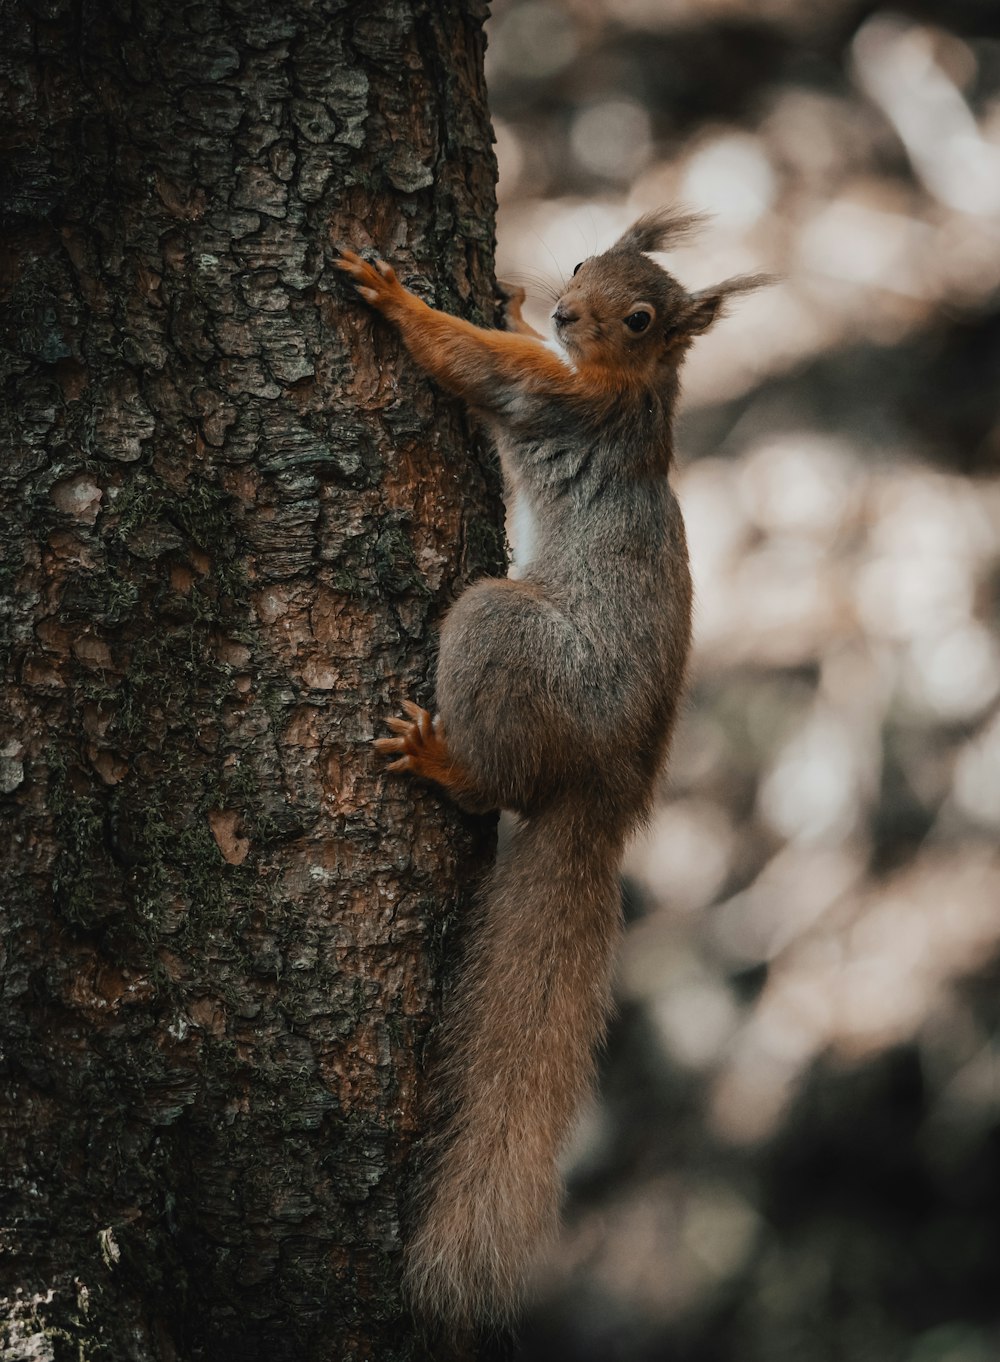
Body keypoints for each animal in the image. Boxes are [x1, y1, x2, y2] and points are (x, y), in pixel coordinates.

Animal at [335, 212, 768, 1329]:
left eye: (642, 315)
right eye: (581, 261)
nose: (567, 309)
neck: (634, 386)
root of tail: (610, 789)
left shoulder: (554, 398)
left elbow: (470, 362)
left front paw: (395, 296)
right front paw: (507, 291)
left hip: (502, 632)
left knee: (501, 781)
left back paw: (442, 761)